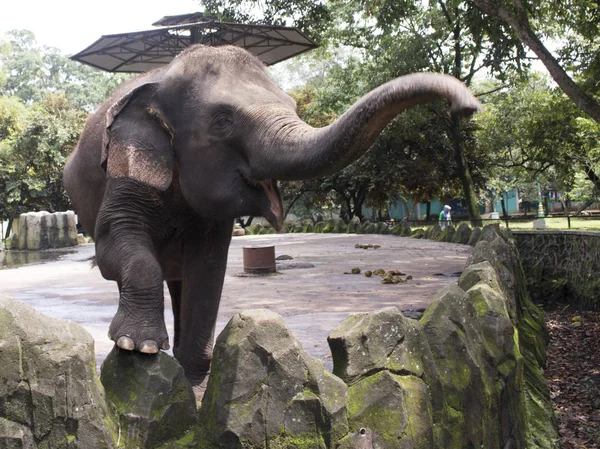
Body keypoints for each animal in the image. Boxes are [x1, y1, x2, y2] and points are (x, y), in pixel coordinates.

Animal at [63, 43, 480, 390]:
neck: (162, 79)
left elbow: (209, 268)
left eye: (293, 106)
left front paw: (192, 379)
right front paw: (139, 347)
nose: (466, 107)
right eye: (223, 120)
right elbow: (113, 244)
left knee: (181, 279)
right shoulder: (123, 168)